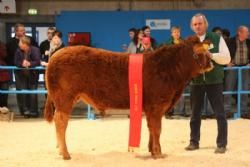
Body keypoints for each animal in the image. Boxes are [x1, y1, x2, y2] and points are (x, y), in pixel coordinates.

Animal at [44, 35, 212, 159]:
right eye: (201, 53)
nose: (211, 64)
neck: (169, 68)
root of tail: (55, 56)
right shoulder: (156, 105)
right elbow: (157, 129)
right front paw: (158, 153)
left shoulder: (151, 108)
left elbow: (151, 128)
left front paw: (152, 150)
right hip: (64, 98)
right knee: (60, 121)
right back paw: (65, 154)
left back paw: (61, 151)